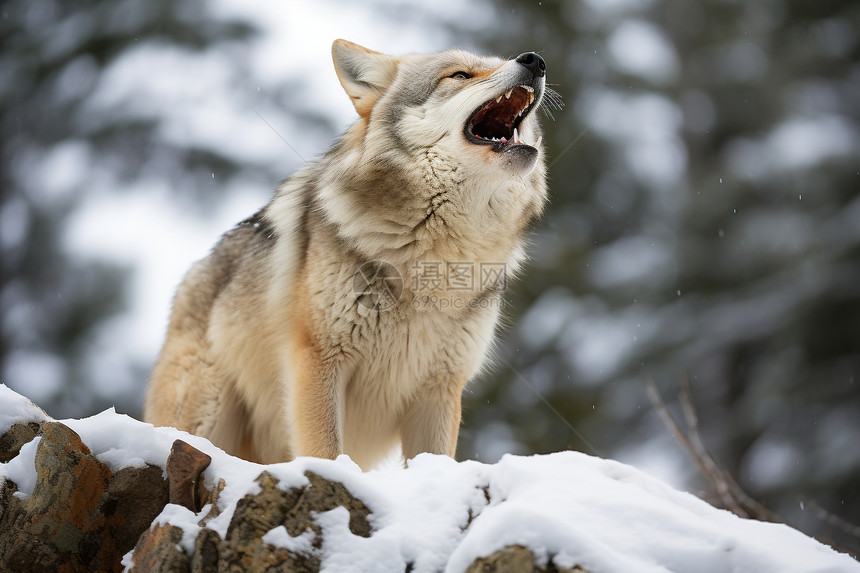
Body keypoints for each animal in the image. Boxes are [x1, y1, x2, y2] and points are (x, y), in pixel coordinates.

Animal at [144, 40, 548, 470]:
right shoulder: (318, 360)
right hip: (209, 412)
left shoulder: (439, 387)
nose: (535, 60)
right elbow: (324, 451)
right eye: (460, 75)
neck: (438, 257)